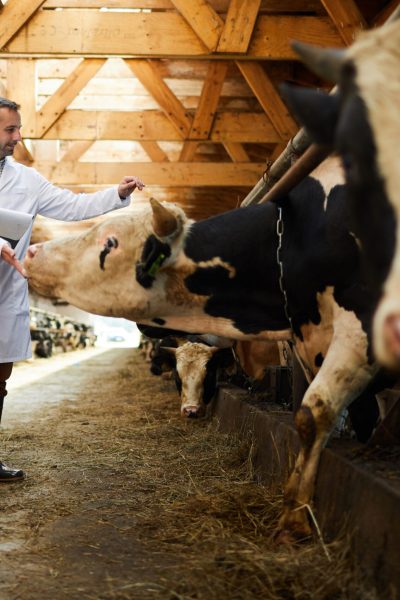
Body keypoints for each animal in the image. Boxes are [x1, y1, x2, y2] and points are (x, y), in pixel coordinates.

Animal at [25, 158, 382, 540]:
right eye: (178, 376)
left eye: (110, 241)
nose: (31, 251)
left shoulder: (357, 337)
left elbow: (321, 416)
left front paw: (295, 520)